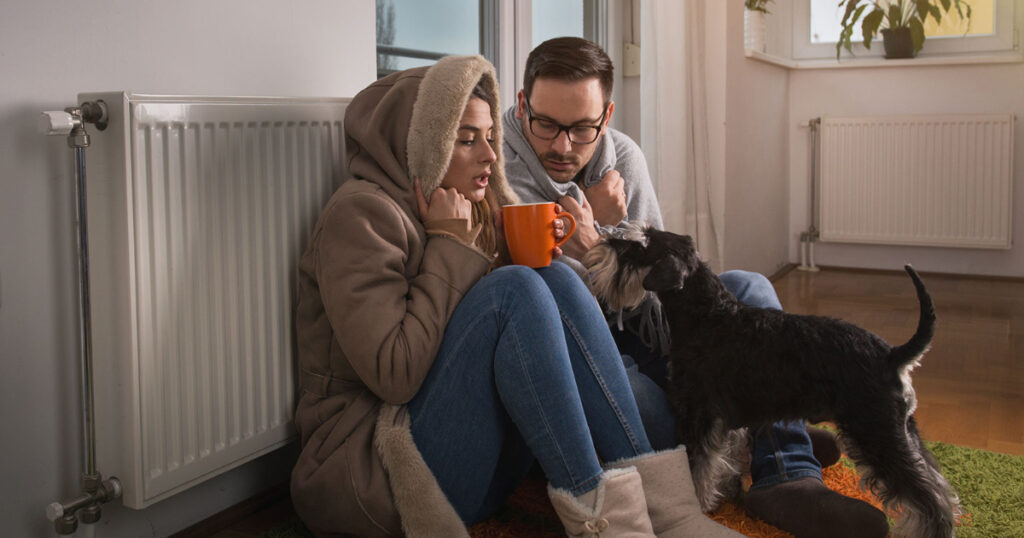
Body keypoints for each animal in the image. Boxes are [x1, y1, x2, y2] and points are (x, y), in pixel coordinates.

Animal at [585, 225, 958, 536]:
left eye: (639, 244)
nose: (601, 241)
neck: (707, 315)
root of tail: (892, 354)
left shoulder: (699, 416)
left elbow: (696, 469)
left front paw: (700, 506)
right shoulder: (724, 423)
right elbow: (721, 463)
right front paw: (726, 495)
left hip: (876, 433)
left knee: (931, 500)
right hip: (901, 430)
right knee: (939, 483)